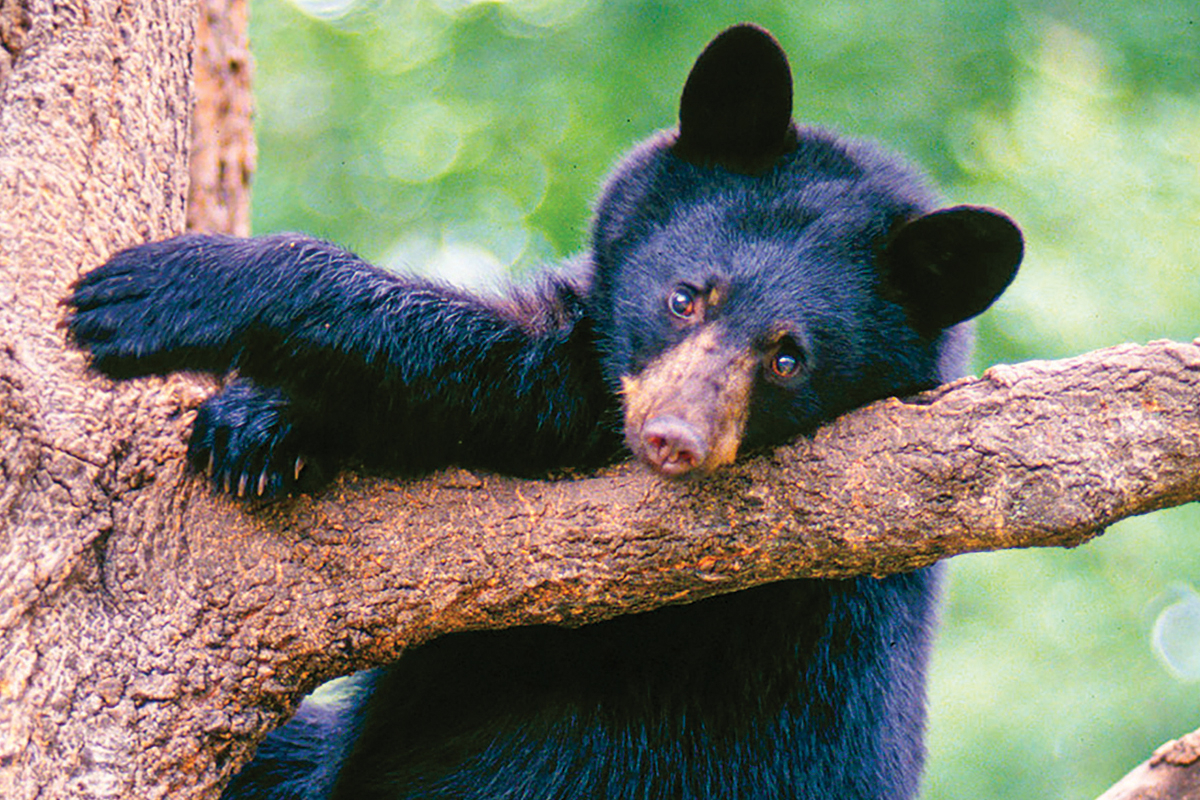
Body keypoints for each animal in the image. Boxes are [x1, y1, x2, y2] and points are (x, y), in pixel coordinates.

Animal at [67, 23, 1022, 800]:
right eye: (685, 296)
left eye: (789, 358)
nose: (671, 440)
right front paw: (257, 432)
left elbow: (517, 380)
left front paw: (158, 293)